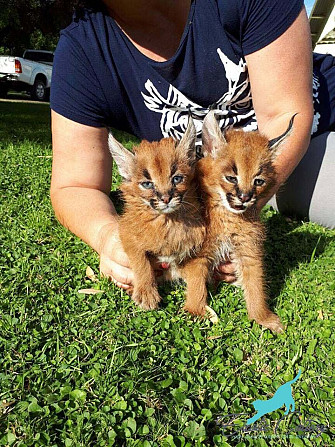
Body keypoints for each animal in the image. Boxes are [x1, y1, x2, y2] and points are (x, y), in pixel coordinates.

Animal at [196, 112, 298, 332]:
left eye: (258, 181)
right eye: (231, 178)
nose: (244, 197)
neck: (229, 217)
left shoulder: (248, 249)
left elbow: (255, 284)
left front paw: (262, 317)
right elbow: (196, 282)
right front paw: (199, 311)